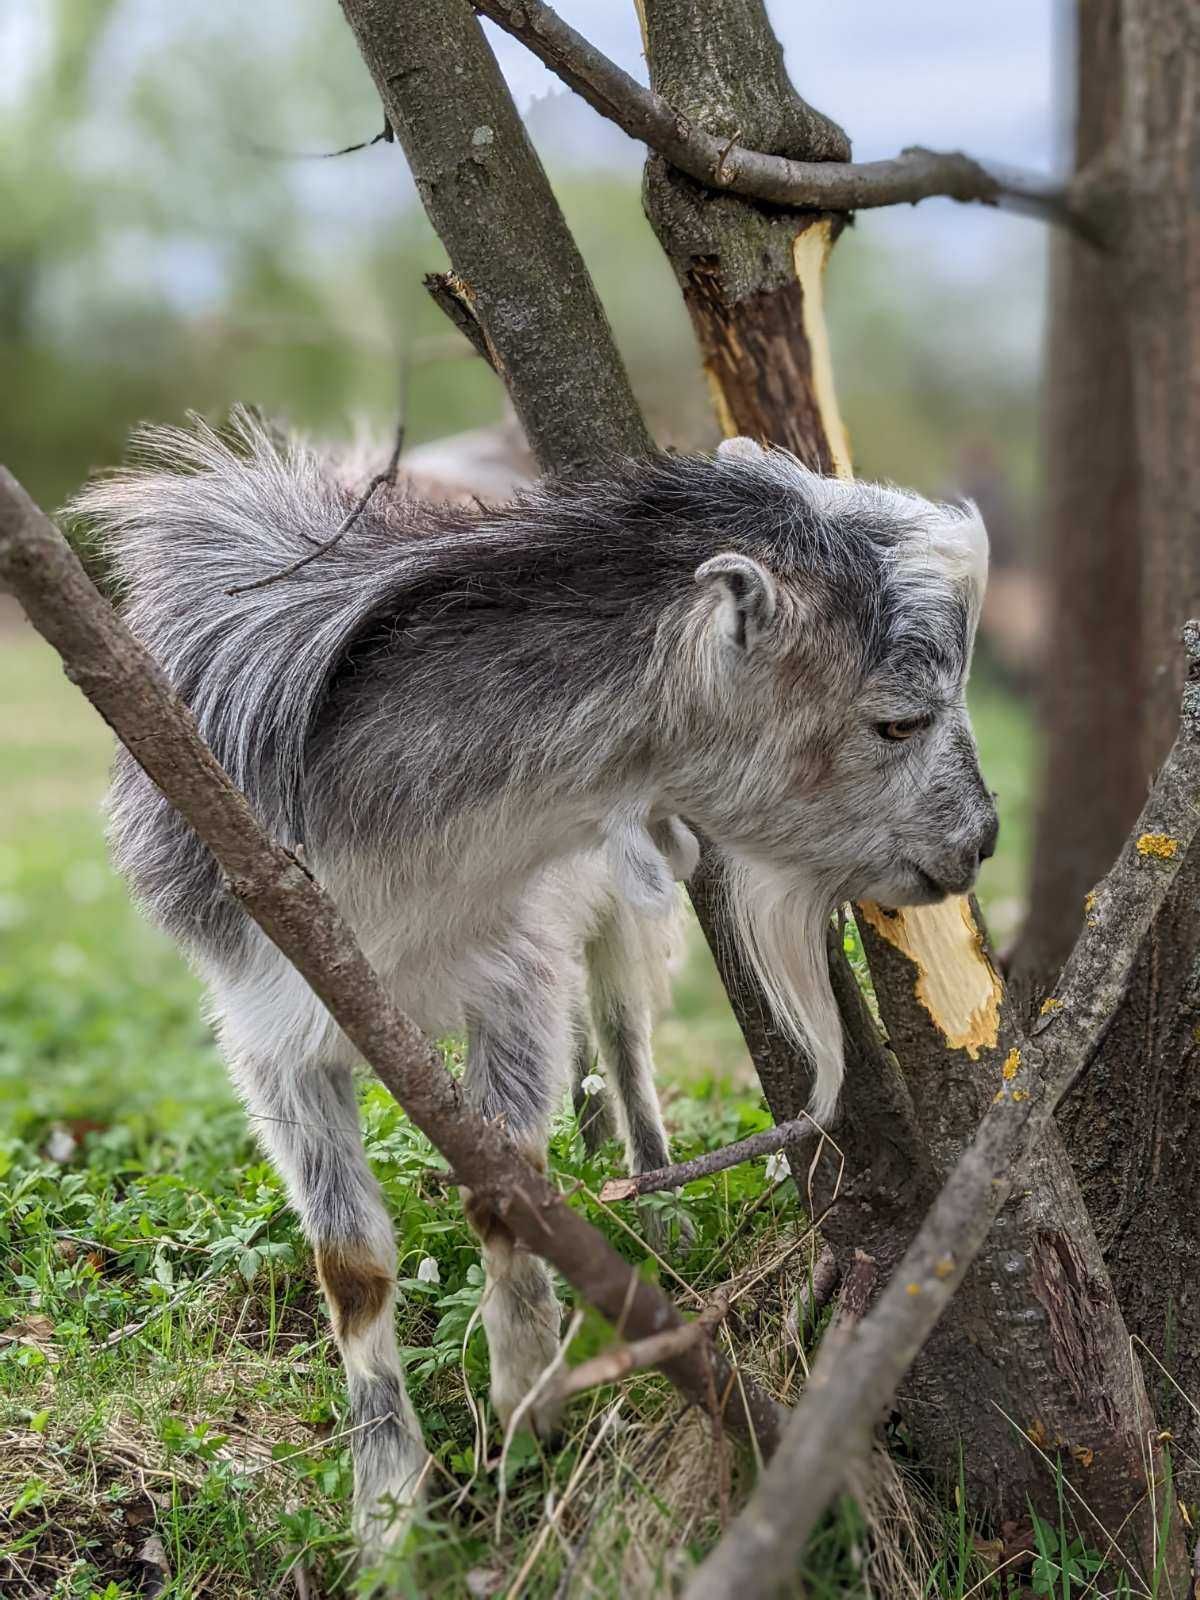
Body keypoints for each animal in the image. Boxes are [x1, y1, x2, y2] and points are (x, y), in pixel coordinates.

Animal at [70, 412, 998, 1548]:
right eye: (898, 720)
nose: (981, 841)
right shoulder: (273, 1023)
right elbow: (351, 1267)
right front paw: (390, 1513)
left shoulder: (518, 972)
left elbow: (505, 1187)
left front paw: (528, 1399)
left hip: (613, 924)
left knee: (626, 1044)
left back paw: (653, 1211)